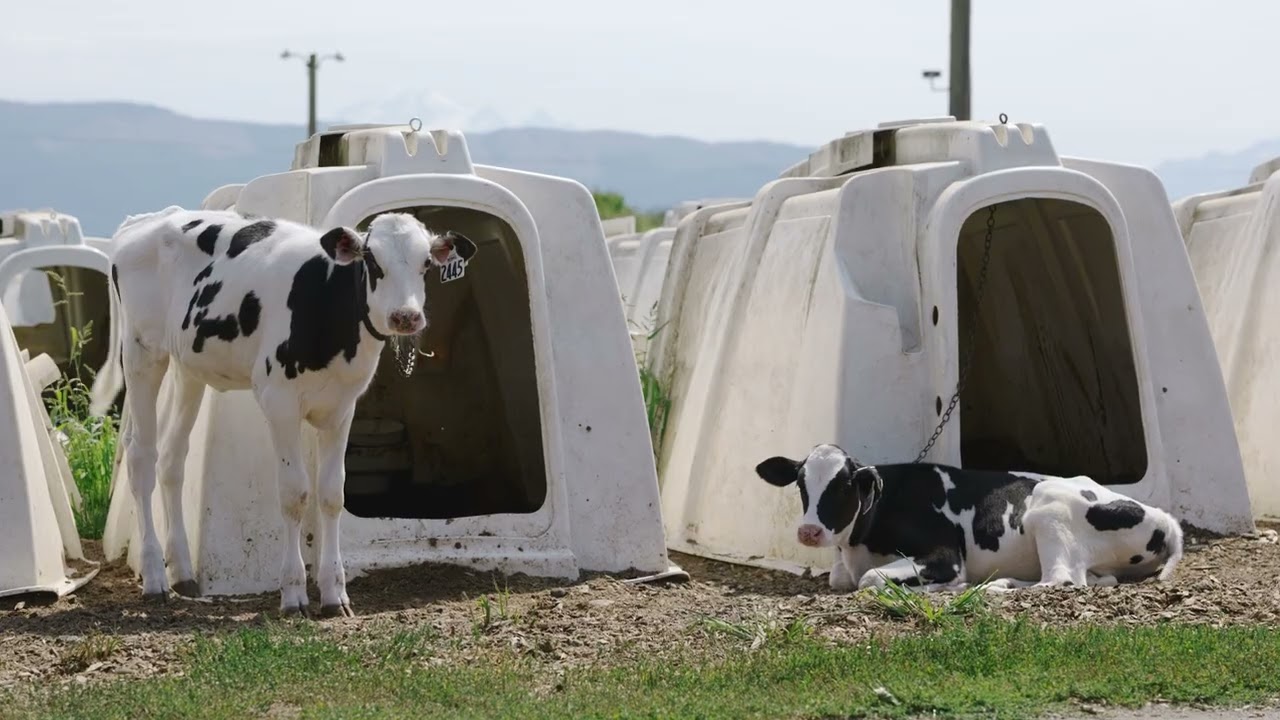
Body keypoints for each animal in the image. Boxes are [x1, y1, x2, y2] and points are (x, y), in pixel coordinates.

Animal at [87, 206, 478, 617]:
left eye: (426, 264)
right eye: (372, 260)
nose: (406, 316)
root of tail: (147, 219)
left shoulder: (342, 409)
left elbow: (331, 494)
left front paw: (335, 594)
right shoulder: (280, 403)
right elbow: (295, 494)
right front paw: (293, 594)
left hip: (188, 368)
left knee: (172, 459)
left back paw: (181, 573)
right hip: (142, 354)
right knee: (141, 458)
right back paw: (154, 578)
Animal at [754, 444, 1184, 593]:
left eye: (844, 485)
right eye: (800, 484)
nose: (809, 532)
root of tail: (1163, 516)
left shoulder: (944, 553)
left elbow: (870, 580)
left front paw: (940, 588)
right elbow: (843, 578)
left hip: (1048, 511)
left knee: (1061, 580)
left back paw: (989, 588)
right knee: (1090, 579)